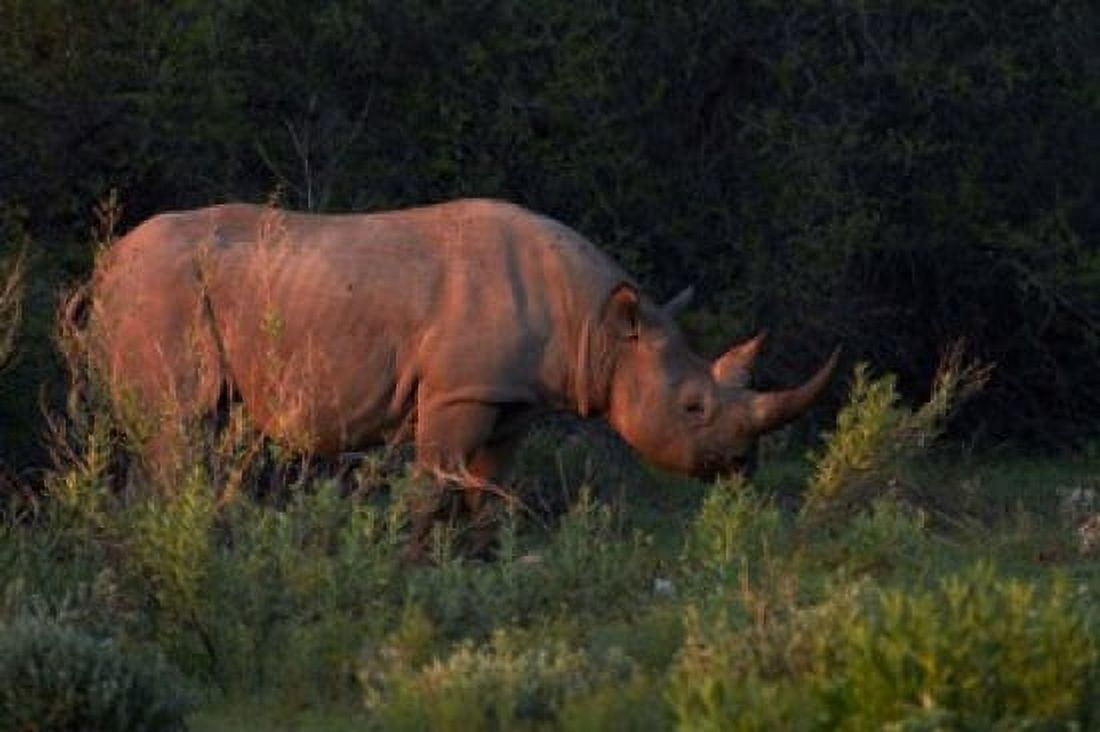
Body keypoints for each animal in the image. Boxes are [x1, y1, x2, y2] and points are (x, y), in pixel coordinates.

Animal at [74, 198, 836, 494]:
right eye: (692, 408)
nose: (741, 465)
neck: (601, 328)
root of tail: (104, 267)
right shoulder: (456, 392)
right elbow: (435, 488)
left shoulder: (510, 398)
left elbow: (485, 495)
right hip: (161, 291)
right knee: (180, 427)